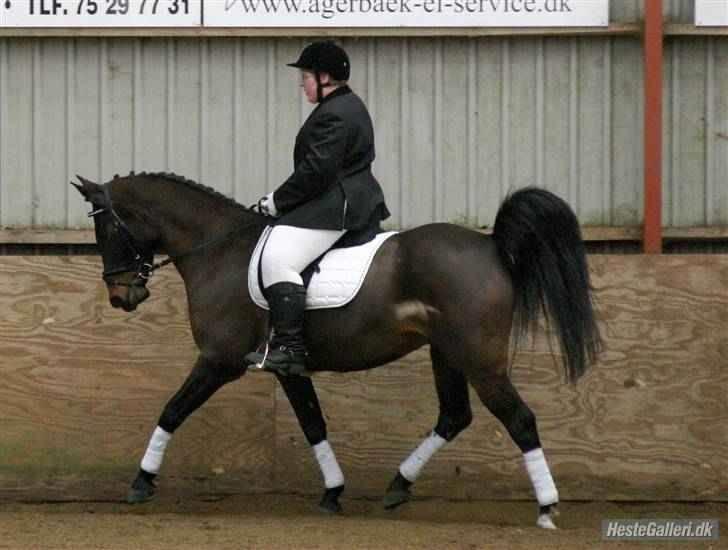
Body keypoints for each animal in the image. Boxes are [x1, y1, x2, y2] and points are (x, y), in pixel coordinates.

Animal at [72, 172, 604, 532]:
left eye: (109, 230)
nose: (121, 297)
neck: (219, 251)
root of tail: (492, 246)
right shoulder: (287, 368)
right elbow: (313, 423)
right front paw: (332, 491)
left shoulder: (220, 361)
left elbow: (172, 410)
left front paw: (141, 482)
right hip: (448, 353)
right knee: (454, 416)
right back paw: (398, 487)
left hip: (479, 358)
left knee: (519, 419)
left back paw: (547, 507)